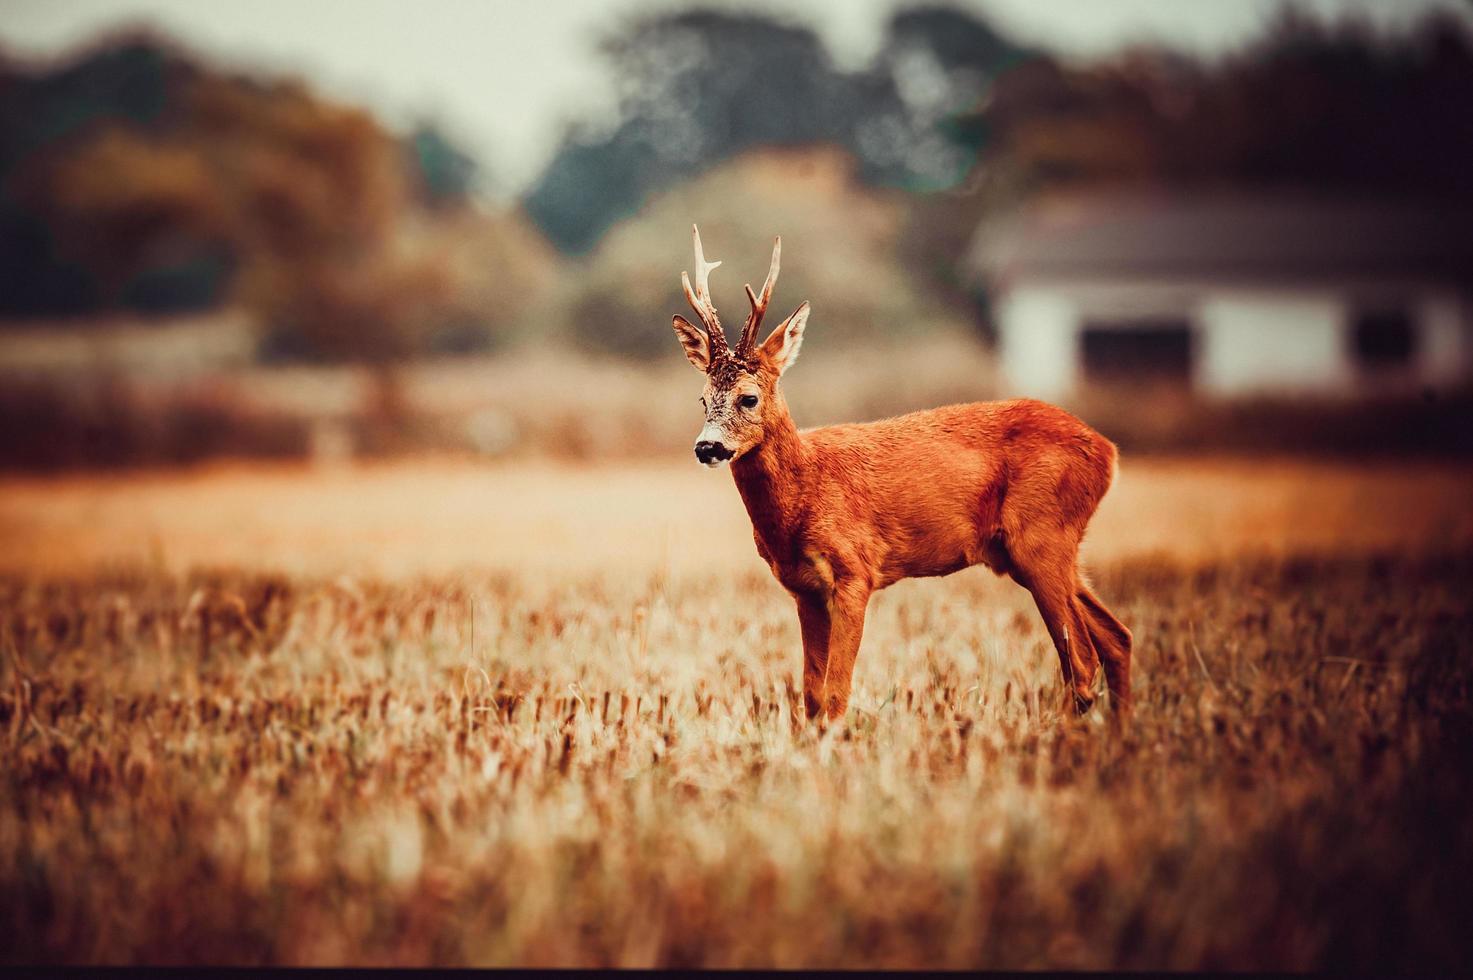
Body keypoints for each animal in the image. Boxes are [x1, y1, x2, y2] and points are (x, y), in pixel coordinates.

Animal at [671, 225, 1137, 722]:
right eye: (702, 399)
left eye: (749, 397)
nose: (707, 447)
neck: (804, 494)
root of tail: (1107, 451)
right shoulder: (804, 588)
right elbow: (811, 695)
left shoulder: (855, 570)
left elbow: (836, 693)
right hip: (1038, 549)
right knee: (1117, 638)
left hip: (1043, 535)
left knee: (1082, 661)